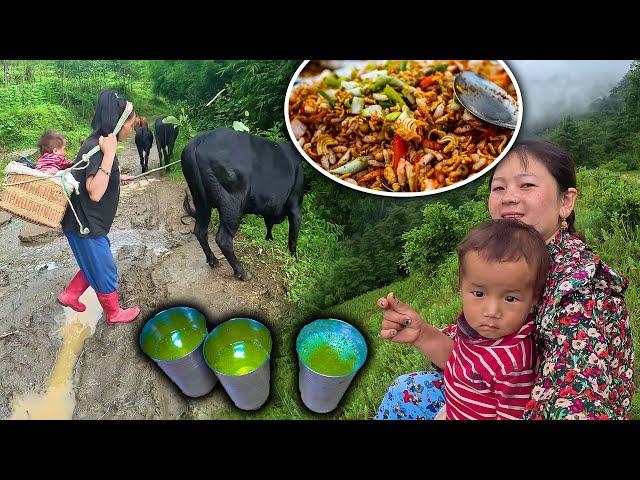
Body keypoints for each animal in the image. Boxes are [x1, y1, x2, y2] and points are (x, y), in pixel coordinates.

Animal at [181, 127, 304, 282]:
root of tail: (198, 141)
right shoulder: (296, 206)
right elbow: (293, 236)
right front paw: (294, 258)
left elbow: (269, 225)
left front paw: (269, 239)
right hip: (232, 206)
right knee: (223, 239)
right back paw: (242, 273)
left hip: (201, 202)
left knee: (200, 231)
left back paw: (213, 260)